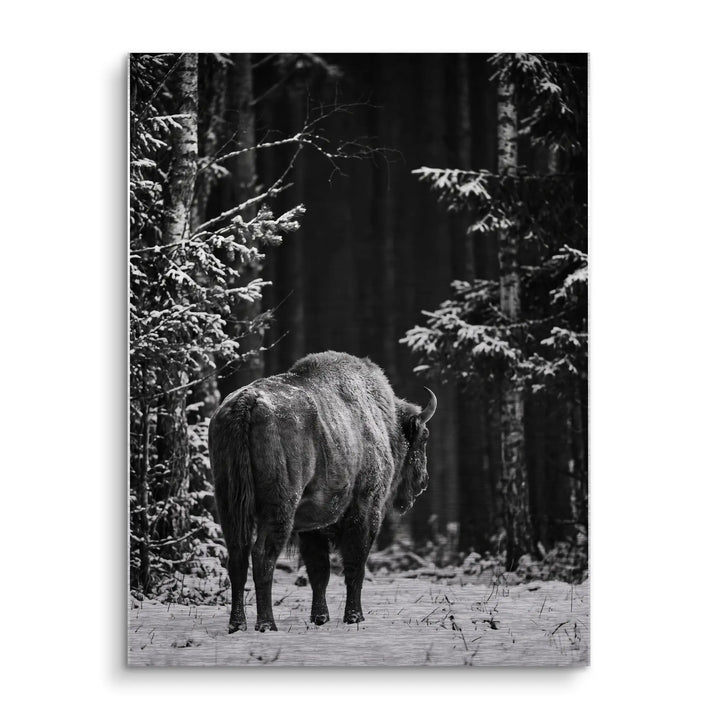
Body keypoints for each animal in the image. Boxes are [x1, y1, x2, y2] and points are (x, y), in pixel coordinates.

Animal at [209, 350, 437, 633]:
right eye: (424, 437)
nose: (423, 482)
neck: (383, 423)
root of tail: (247, 401)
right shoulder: (365, 512)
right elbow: (355, 566)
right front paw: (355, 617)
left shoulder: (312, 526)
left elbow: (320, 572)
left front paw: (320, 617)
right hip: (280, 507)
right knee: (262, 556)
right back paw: (267, 624)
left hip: (229, 504)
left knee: (237, 557)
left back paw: (237, 624)